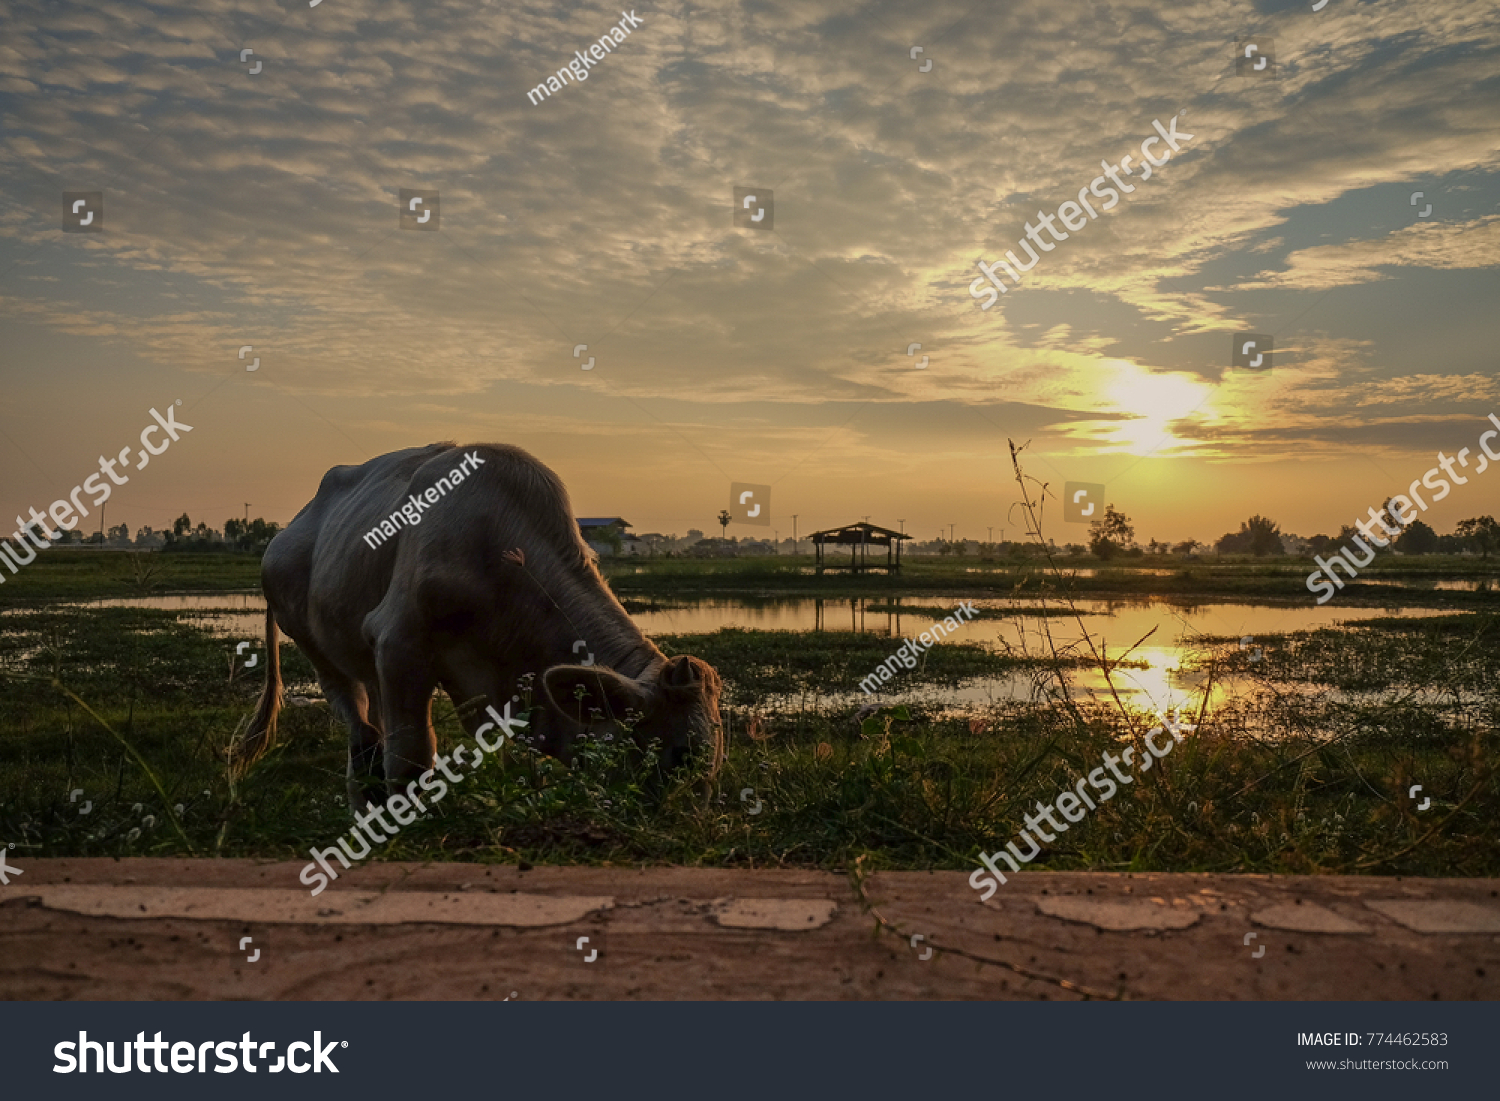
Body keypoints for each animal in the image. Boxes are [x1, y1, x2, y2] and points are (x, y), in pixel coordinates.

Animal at [228, 444, 726, 816]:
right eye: (682, 754)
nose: (689, 829)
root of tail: (289, 530)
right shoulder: (398, 643)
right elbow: (412, 754)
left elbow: (500, 757)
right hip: (320, 651)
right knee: (360, 729)